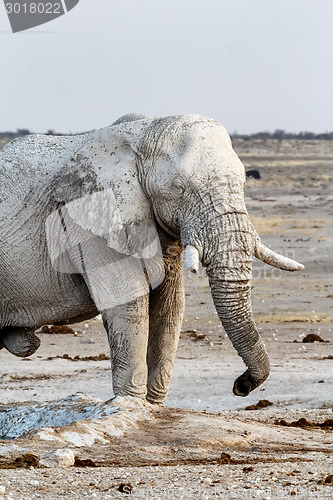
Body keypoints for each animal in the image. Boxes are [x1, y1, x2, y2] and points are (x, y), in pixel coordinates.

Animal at [0, 112, 304, 402]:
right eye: (179, 188)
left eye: (243, 183)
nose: (240, 386)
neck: (144, 133)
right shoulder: (92, 220)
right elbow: (127, 304)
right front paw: (130, 404)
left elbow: (169, 307)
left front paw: (153, 406)